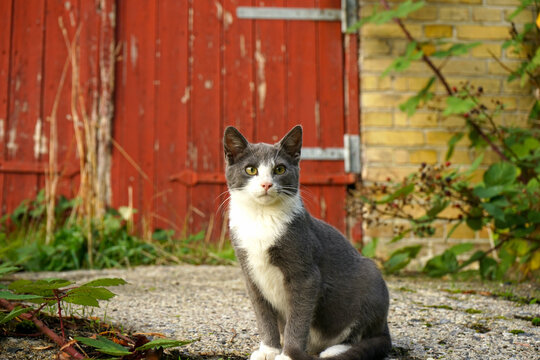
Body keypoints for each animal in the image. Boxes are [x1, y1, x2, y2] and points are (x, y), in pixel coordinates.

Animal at [221, 126, 390, 360]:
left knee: (365, 334)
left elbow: (299, 318)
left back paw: (335, 350)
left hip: (371, 279)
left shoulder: (305, 272)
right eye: (251, 170)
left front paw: (288, 355)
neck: (261, 218)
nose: (266, 184)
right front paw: (268, 350)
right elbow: (263, 315)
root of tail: (385, 327)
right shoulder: (250, 273)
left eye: (280, 169)